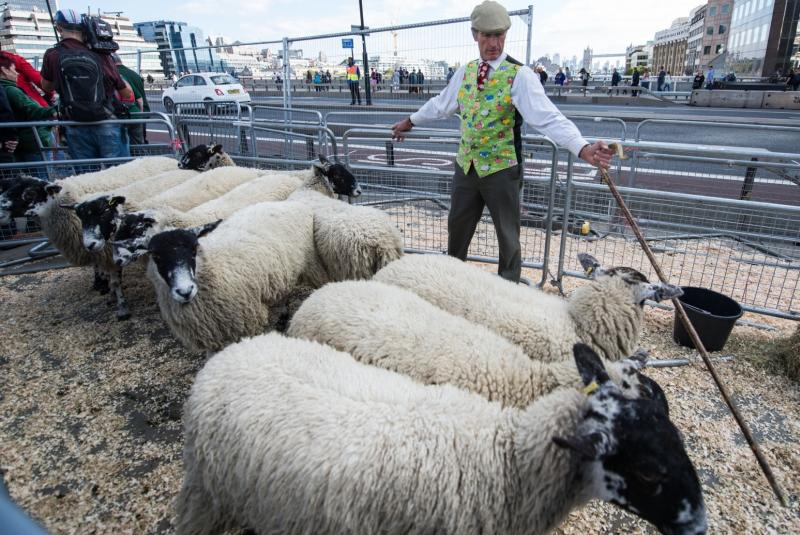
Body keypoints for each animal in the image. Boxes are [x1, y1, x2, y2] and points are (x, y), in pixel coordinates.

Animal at [145, 201, 330, 352]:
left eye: (194, 249)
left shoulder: (247, 322)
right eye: (155, 256)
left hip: (310, 262)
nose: (185, 291)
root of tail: (290, 203)